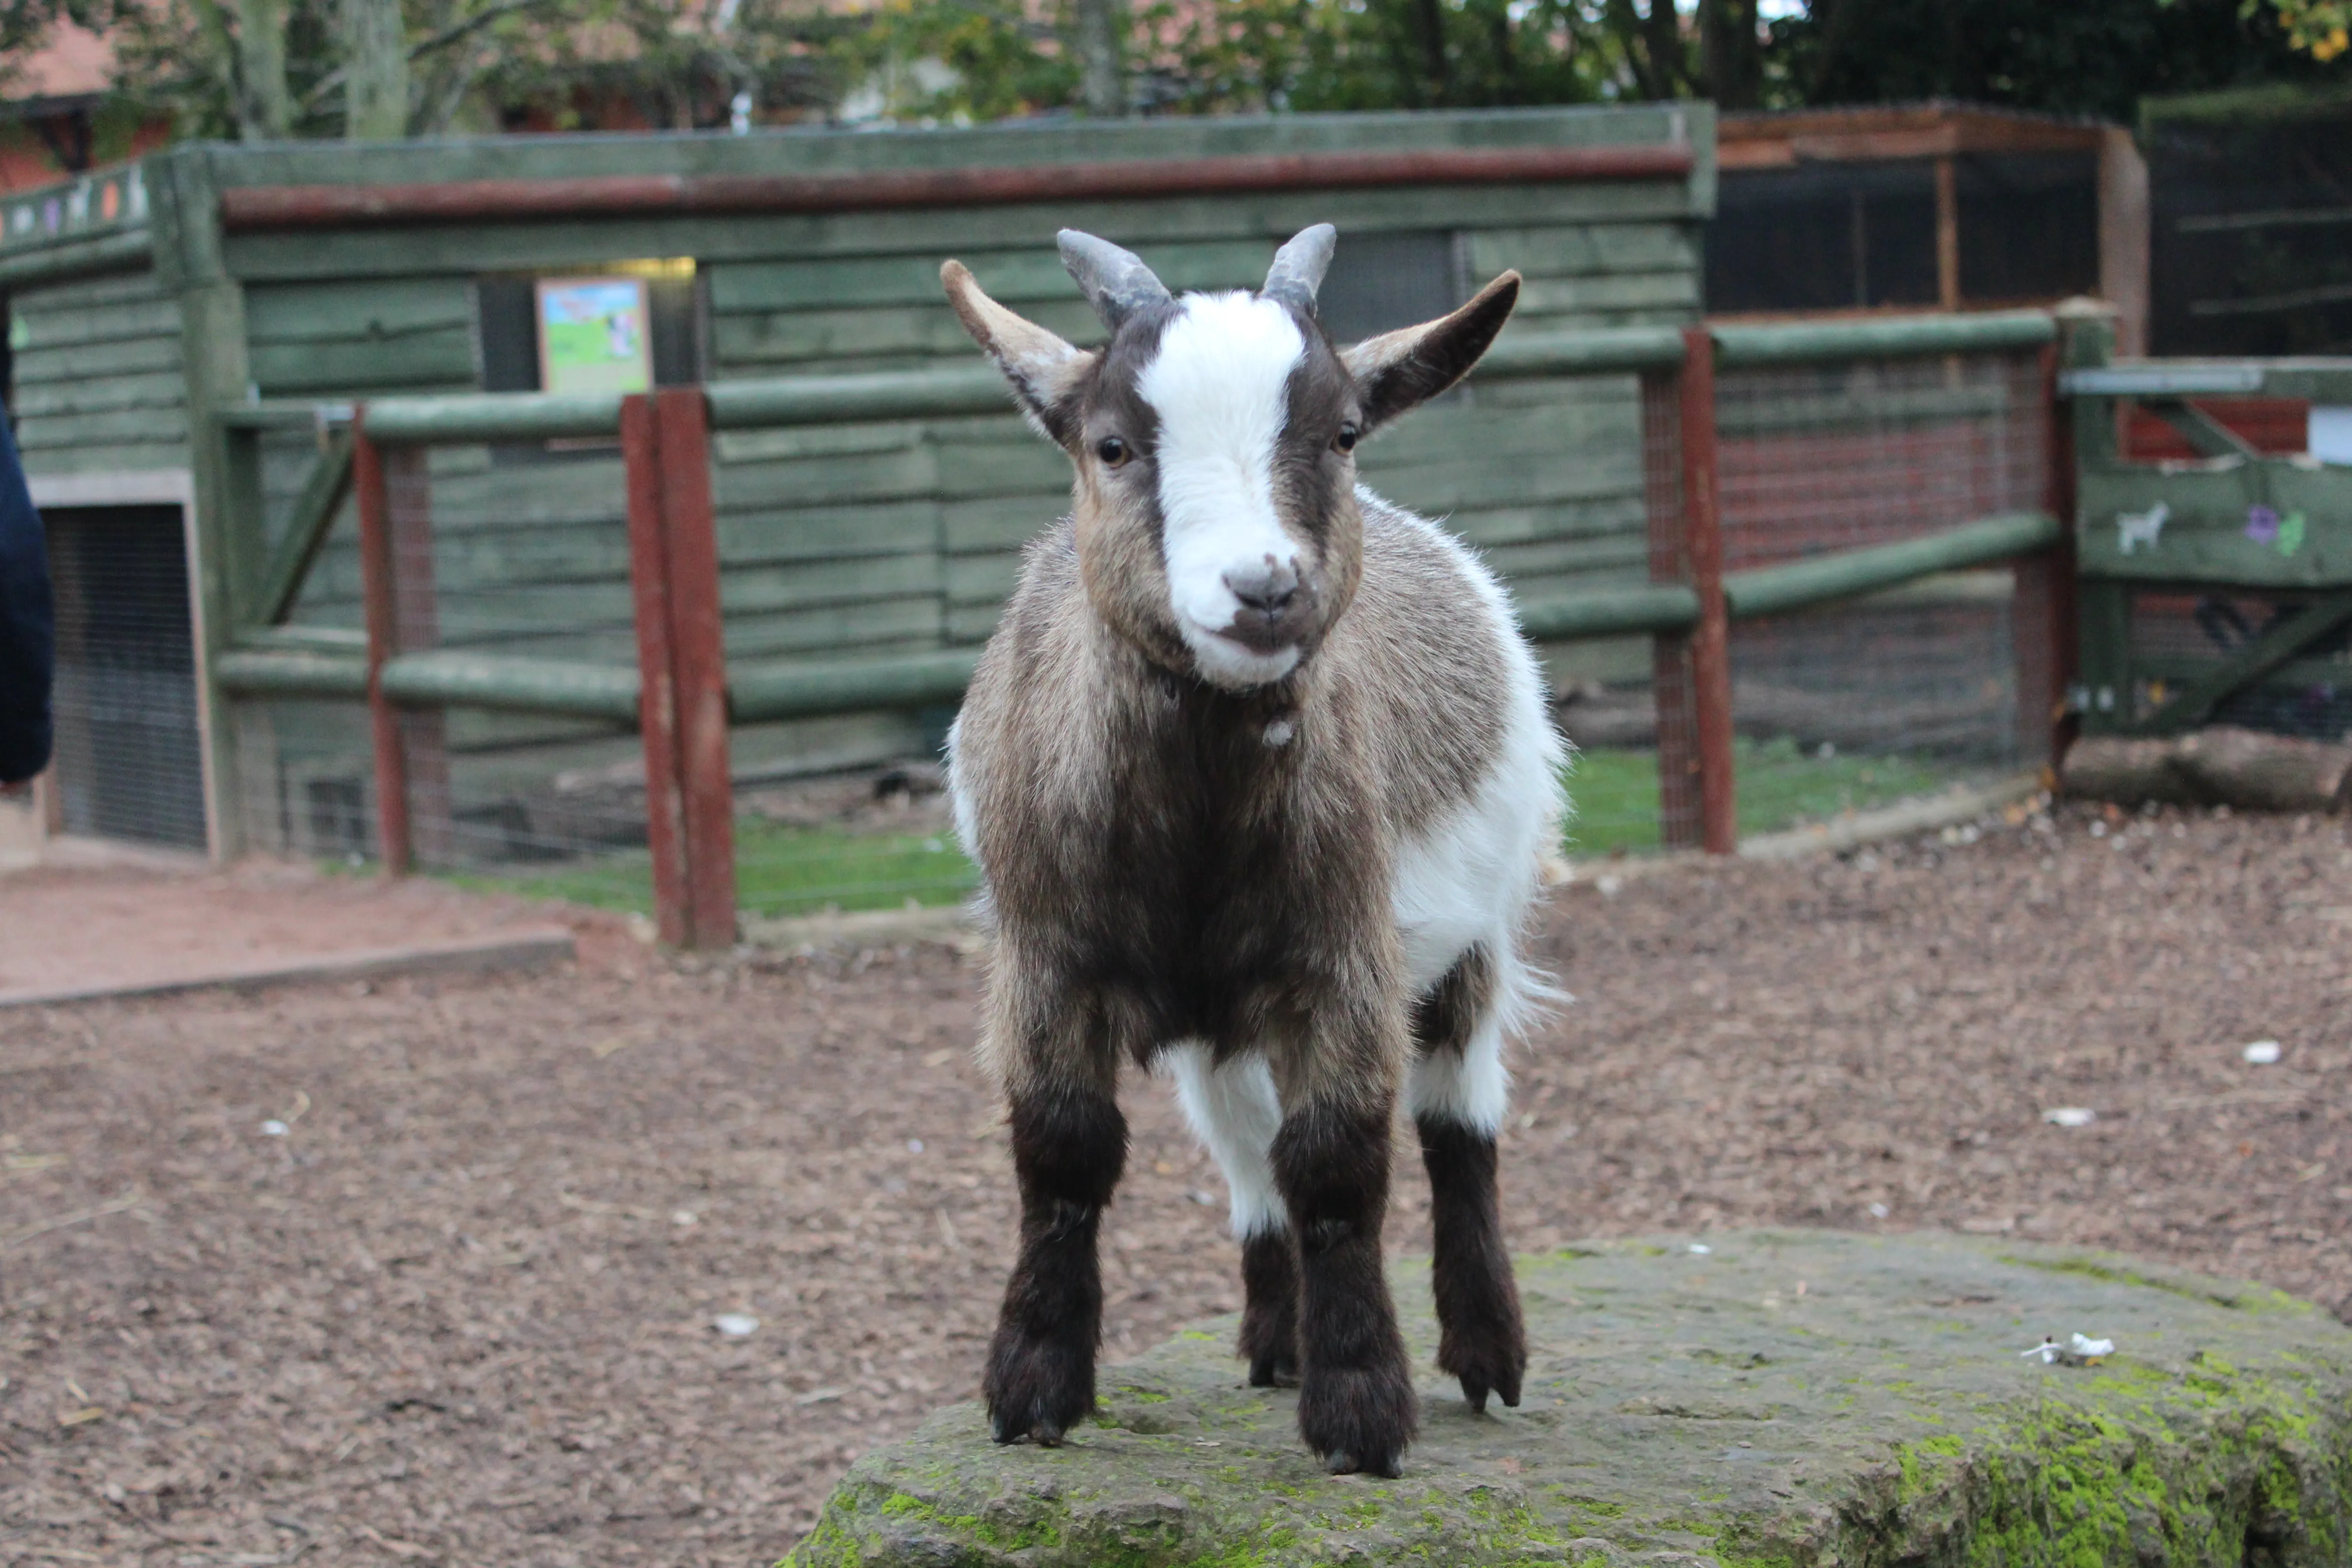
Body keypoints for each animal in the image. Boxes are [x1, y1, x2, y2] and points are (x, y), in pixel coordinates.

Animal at [936, 227, 1562, 1476]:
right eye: (1113, 443)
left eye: (1342, 432)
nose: (1264, 588)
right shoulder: (1045, 959)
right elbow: (1063, 1153)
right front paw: (1033, 1387)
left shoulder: (1344, 954)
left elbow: (1338, 1162)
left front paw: (1361, 1410)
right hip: (1219, 1030)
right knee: (1246, 1152)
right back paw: (1276, 1342)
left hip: (1479, 929)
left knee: (1459, 1121)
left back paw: (1484, 1352)